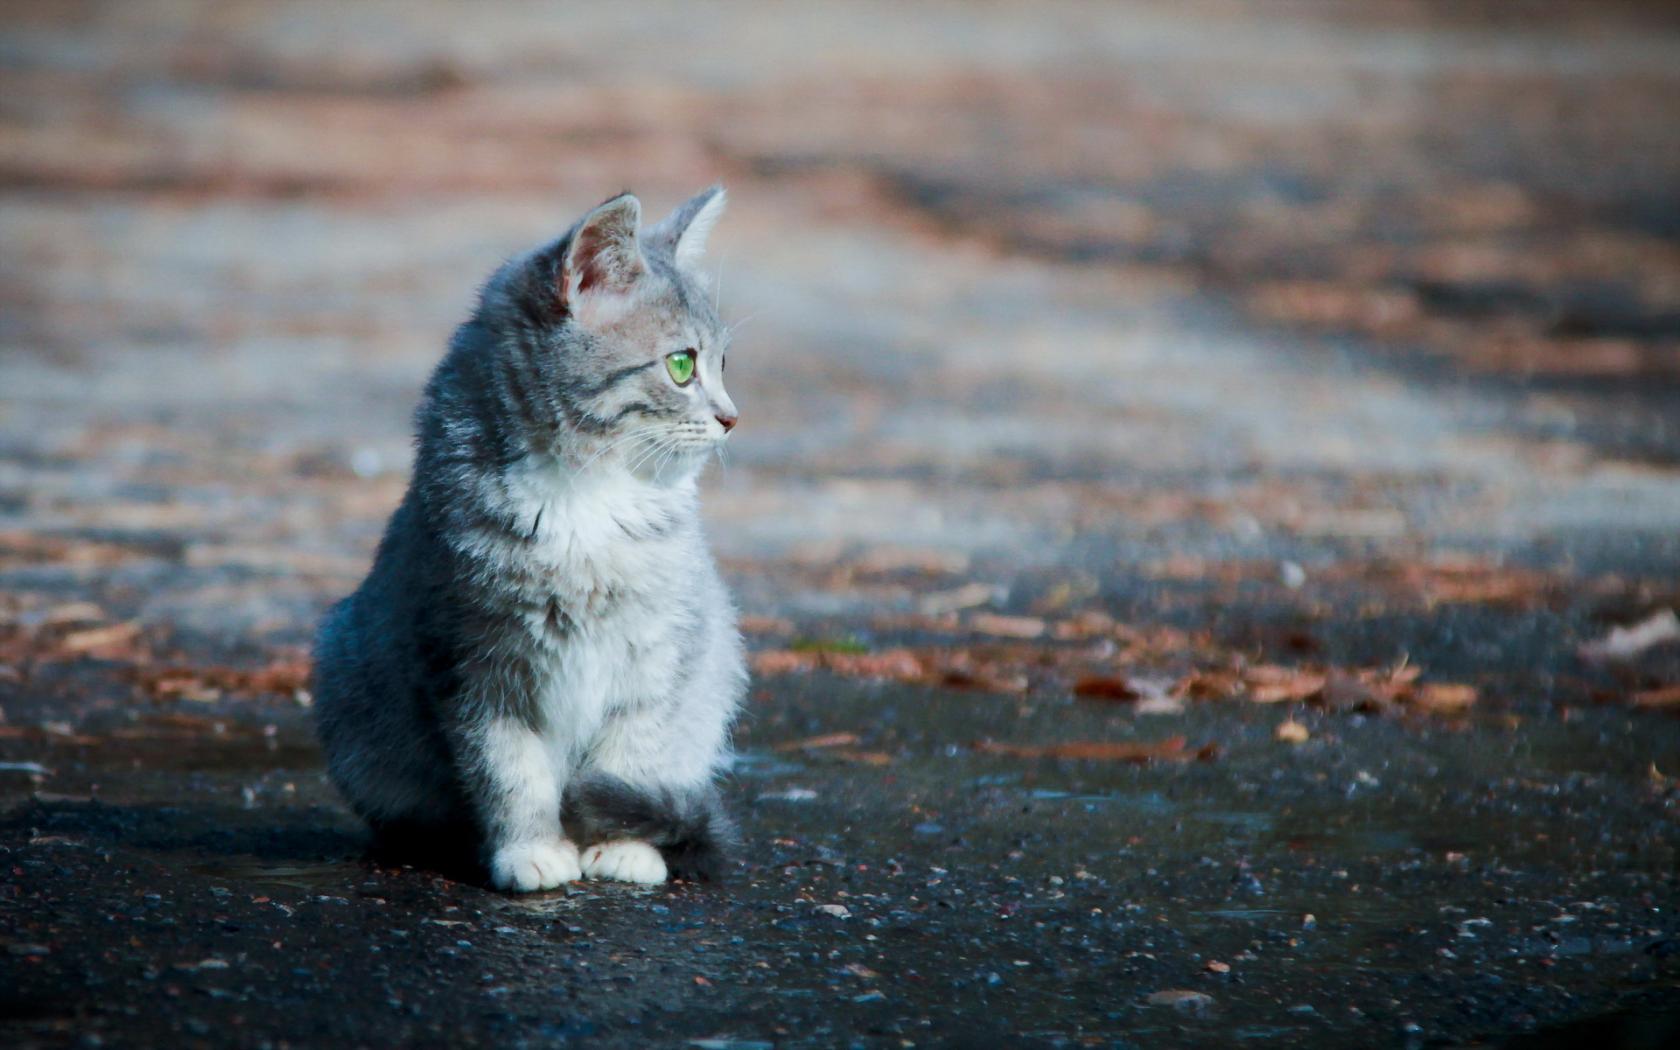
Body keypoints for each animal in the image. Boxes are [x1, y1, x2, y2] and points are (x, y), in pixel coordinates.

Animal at [312, 186, 745, 887]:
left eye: (723, 363)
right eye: (682, 365)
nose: (732, 417)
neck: (587, 500)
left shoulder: (663, 652)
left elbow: (633, 756)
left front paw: (623, 846)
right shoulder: (471, 665)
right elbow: (508, 771)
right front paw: (530, 849)